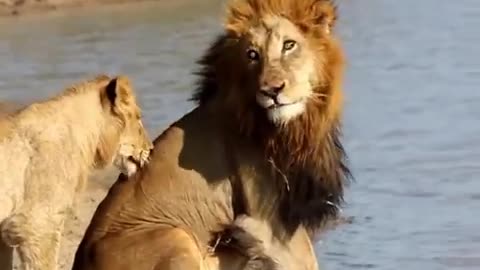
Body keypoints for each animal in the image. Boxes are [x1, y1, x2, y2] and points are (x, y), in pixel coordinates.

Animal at [72, 0, 348, 268]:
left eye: (289, 45)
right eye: (252, 55)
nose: (271, 90)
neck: (298, 125)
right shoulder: (265, 216)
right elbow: (307, 260)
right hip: (177, 235)